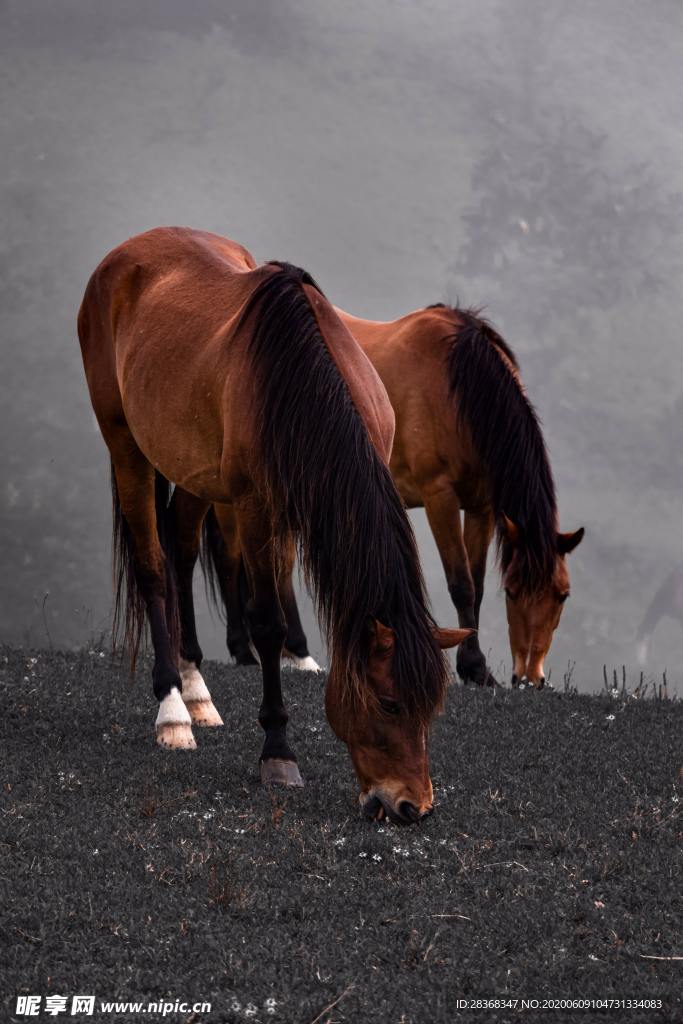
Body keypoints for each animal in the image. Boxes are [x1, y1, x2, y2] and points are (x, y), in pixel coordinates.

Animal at [77, 227, 471, 824]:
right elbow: (268, 624)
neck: (301, 384)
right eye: (388, 702)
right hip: (125, 445)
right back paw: (173, 708)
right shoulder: (258, 510)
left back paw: (196, 689)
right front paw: (278, 752)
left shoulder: (290, 512)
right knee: (152, 568)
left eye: (432, 706)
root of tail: (123, 256)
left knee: (181, 554)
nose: (411, 806)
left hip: (194, 474)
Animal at [193, 303, 583, 689]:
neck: (456, 387)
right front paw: (473, 666)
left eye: (563, 595)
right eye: (514, 592)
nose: (530, 678)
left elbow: (478, 585)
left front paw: (478, 670)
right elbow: (461, 584)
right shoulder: (439, 495)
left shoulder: (480, 508)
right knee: (230, 557)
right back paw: (244, 650)